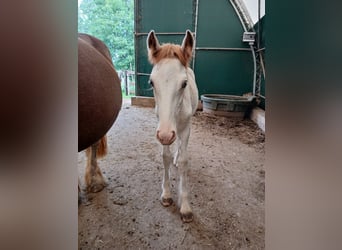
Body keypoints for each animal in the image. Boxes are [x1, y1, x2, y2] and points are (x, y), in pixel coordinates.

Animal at [146, 29, 199, 223]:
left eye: (184, 83)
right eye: (152, 82)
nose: (167, 135)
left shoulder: (184, 129)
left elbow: (184, 161)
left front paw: (185, 207)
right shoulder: (161, 127)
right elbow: (165, 157)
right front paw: (167, 194)